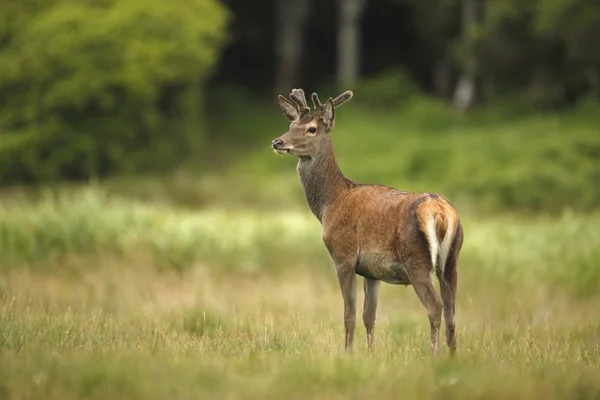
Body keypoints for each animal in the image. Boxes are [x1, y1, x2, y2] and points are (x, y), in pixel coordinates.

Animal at [270, 88, 464, 356]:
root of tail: (441, 213)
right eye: (291, 125)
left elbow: (349, 315)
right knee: (452, 314)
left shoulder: (344, 255)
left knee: (435, 307)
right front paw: (371, 354)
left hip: (416, 259)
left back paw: (433, 355)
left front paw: (348, 353)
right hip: (452, 260)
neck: (330, 203)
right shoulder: (372, 271)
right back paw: (453, 358)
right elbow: (369, 317)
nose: (278, 142)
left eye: (311, 129)